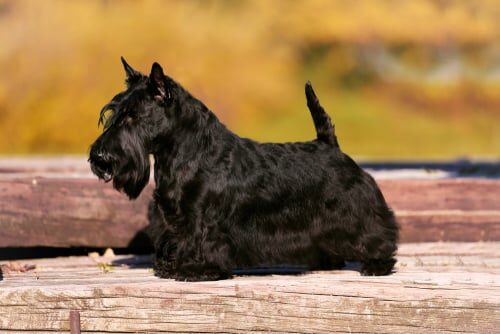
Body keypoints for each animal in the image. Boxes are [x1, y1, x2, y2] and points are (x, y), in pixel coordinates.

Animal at [89, 58, 398, 282]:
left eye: (133, 116)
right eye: (113, 114)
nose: (99, 157)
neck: (188, 154)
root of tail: (329, 144)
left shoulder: (203, 219)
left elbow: (200, 242)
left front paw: (197, 269)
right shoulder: (172, 218)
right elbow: (174, 238)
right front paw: (170, 266)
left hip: (356, 211)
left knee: (377, 234)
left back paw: (377, 264)